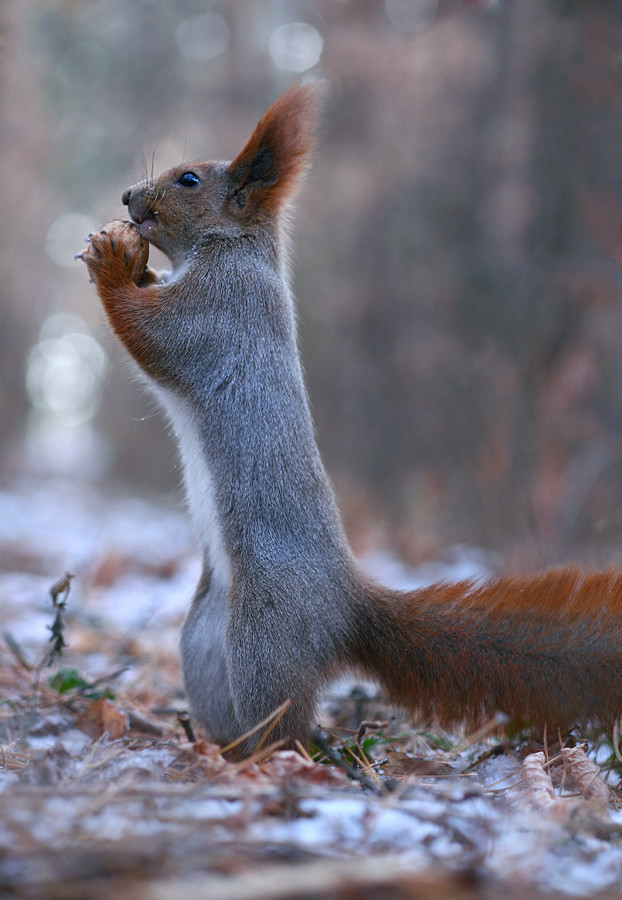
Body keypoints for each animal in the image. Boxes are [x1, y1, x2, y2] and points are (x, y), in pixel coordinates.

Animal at [80, 84, 622, 756]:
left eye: (188, 179)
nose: (129, 197)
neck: (234, 250)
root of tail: (344, 608)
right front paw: (133, 261)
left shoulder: (219, 311)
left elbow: (154, 336)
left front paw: (111, 262)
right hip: (206, 640)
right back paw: (214, 749)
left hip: (264, 639)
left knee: (280, 721)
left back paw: (269, 758)